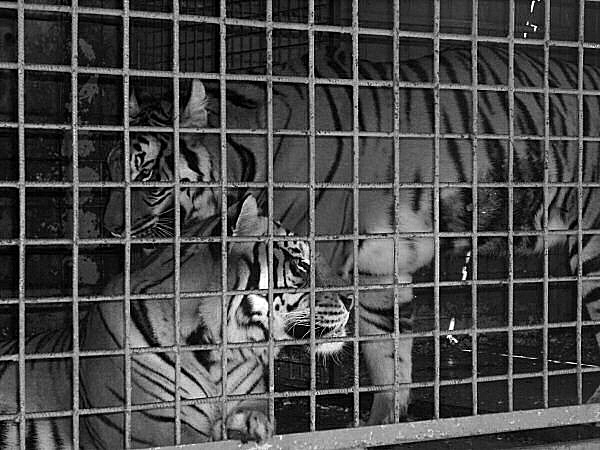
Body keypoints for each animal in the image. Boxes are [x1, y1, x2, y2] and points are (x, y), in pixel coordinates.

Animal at [103, 44, 600, 426]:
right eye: (110, 172)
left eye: (146, 179)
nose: (110, 230)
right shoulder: (379, 270)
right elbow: (389, 356)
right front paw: (383, 424)